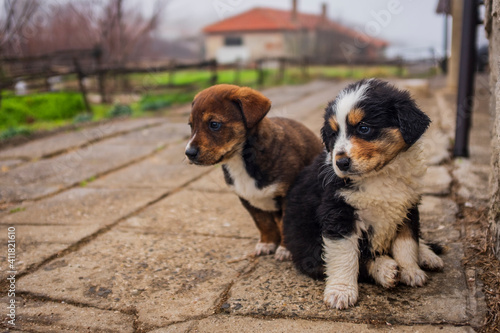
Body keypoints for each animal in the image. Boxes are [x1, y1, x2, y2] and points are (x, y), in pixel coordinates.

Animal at [186, 83, 322, 260]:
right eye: (190, 125)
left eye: (214, 124)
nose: (188, 153)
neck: (241, 161)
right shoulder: (247, 199)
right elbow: (263, 223)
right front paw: (267, 244)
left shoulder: (289, 196)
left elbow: (286, 224)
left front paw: (285, 249)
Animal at [284, 79, 444, 310]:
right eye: (333, 134)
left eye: (364, 128)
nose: (340, 163)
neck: (380, 175)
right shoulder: (339, 213)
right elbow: (346, 256)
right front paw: (341, 292)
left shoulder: (408, 207)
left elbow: (407, 243)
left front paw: (411, 271)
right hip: (305, 244)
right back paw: (385, 270)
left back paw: (427, 256)